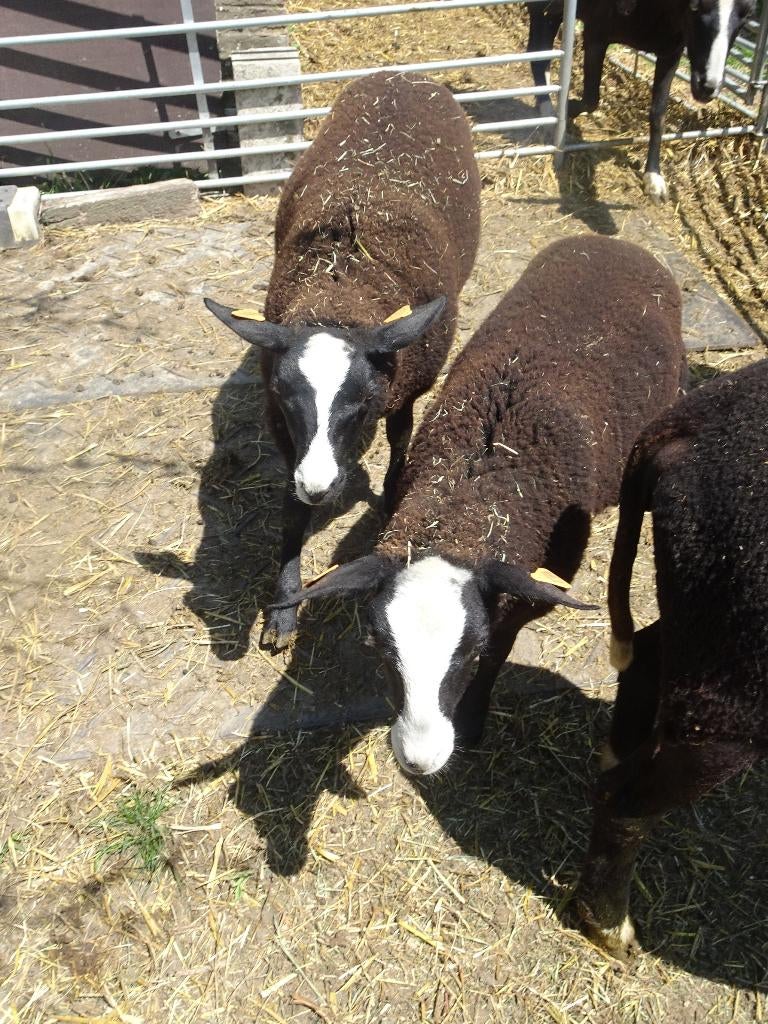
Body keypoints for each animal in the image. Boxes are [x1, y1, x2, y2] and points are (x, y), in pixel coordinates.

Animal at [204, 71, 481, 651]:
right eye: (286, 399)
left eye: (359, 405)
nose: (318, 485)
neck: (340, 289)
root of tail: (404, 76)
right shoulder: (284, 431)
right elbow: (290, 513)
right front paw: (284, 607)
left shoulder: (405, 384)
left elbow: (400, 434)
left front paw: (392, 492)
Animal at [273, 234, 687, 777]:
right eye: (382, 651)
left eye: (468, 653)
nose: (419, 761)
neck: (469, 493)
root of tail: (610, 243)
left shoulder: (523, 593)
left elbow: (501, 649)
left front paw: (470, 721)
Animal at [527, 0, 756, 198]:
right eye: (694, 6)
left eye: (747, 15)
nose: (708, 86)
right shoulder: (596, 34)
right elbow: (591, 98)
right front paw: (566, 108)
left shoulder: (670, 52)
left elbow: (658, 114)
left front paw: (653, 176)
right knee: (537, 52)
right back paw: (548, 112)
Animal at [574, 358, 768, 960]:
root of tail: (685, 427)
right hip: (730, 697)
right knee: (624, 804)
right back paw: (613, 933)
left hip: (703, 623)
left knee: (645, 657)